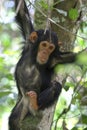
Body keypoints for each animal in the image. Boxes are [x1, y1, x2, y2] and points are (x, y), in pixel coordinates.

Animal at [8, 0, 76, 130]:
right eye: (44, 45)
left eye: (50, 48)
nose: (45, 53)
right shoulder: (29, 40)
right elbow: (22, 13)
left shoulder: (55, 58)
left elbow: (75, 57)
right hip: (22, 104)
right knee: (13, 121)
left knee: (56, 86)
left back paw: (36, 103)